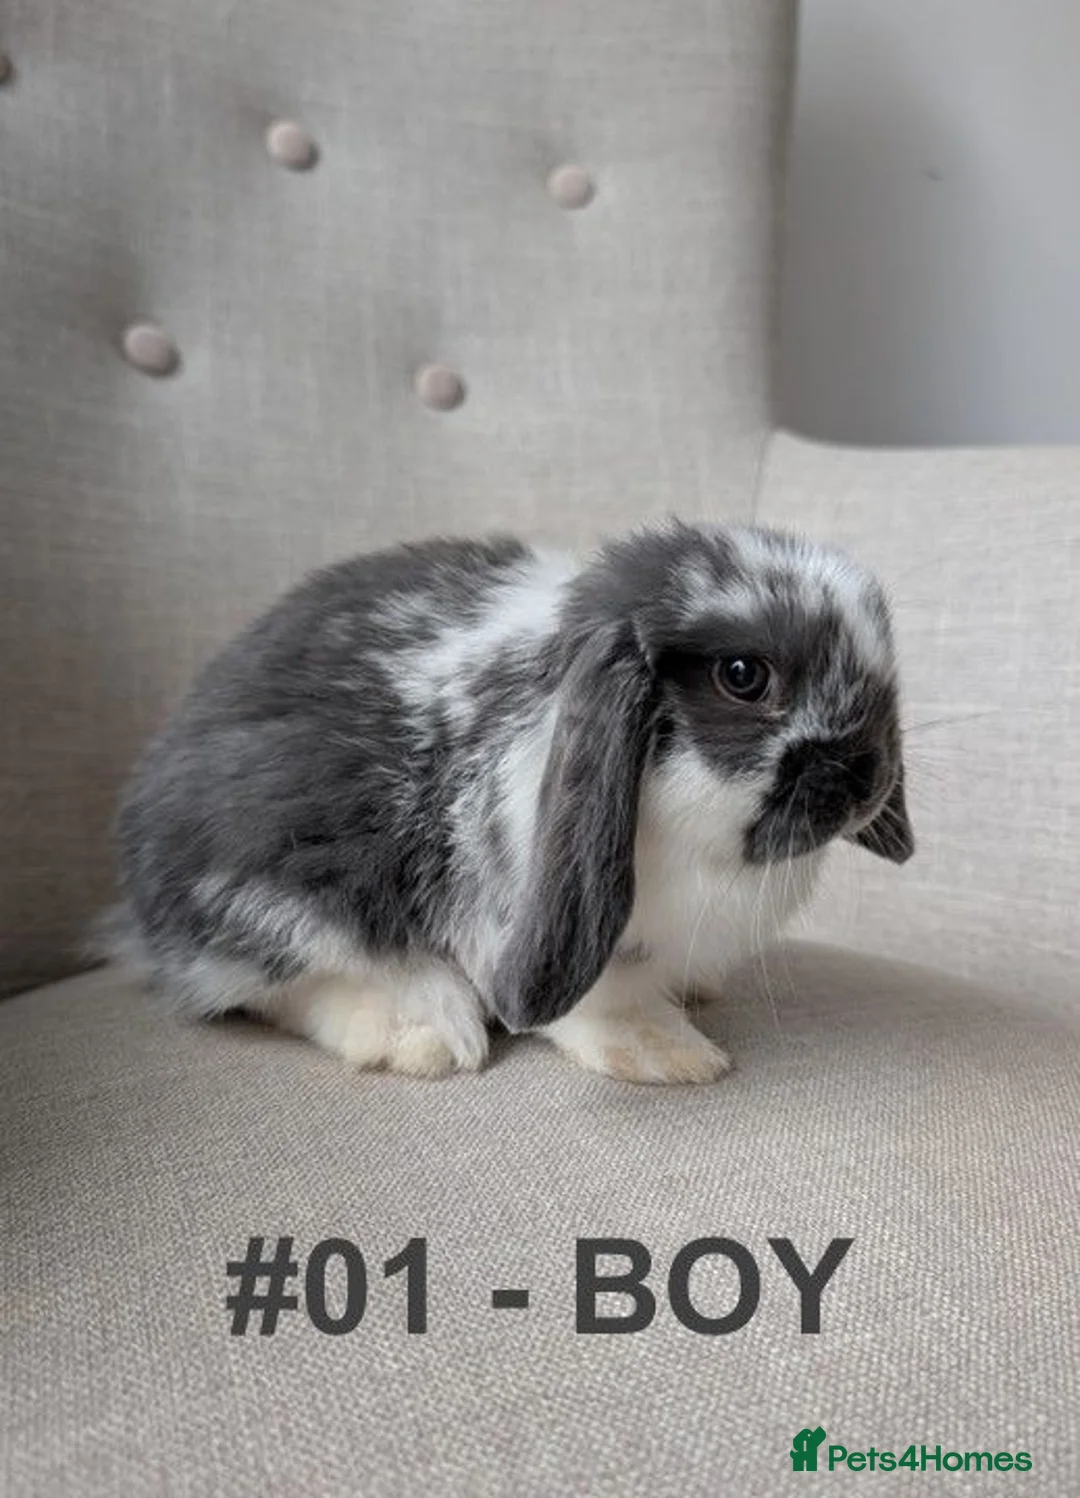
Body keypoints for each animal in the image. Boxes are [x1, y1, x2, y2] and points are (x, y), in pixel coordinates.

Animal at [107, 520, 913, 1085]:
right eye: (744, 675)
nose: (866, 780)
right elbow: (604, 999)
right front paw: (668, 1056)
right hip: (283, 870)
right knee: (278, 974)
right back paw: (422, 1032)